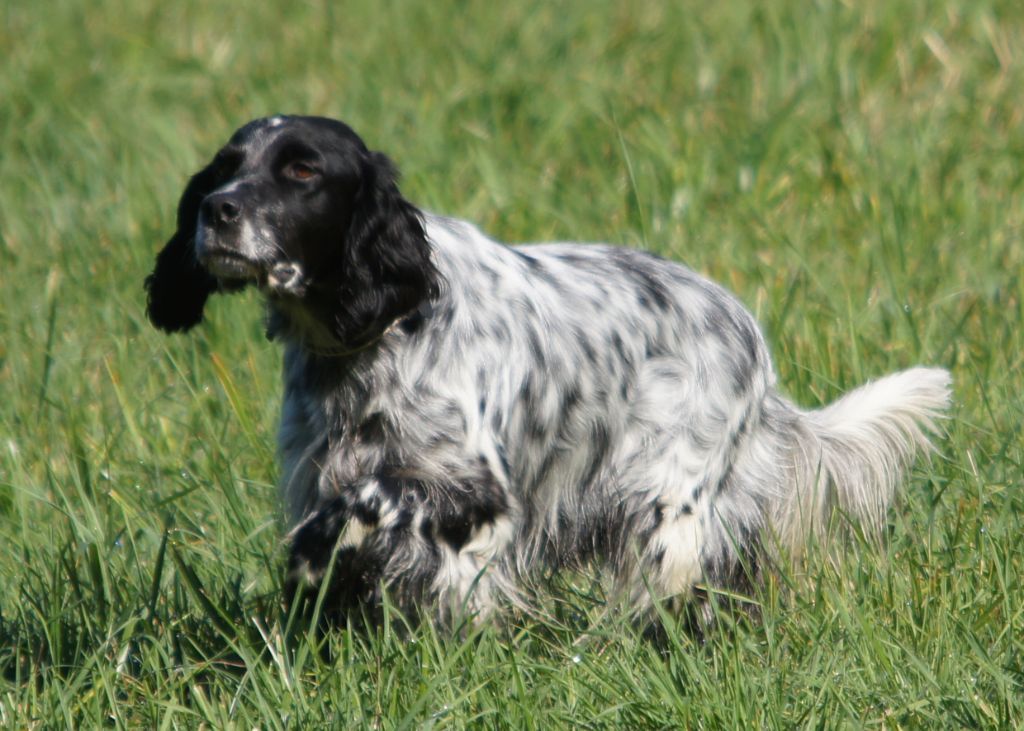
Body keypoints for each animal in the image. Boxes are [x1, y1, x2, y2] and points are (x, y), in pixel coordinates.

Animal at [144, 116, 950, 622]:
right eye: (224, 168)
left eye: (302, 169)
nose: (216, 211)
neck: (373, 336)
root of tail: (751, 340)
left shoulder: (478, 496)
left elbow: (370, 501)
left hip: (669, 519)